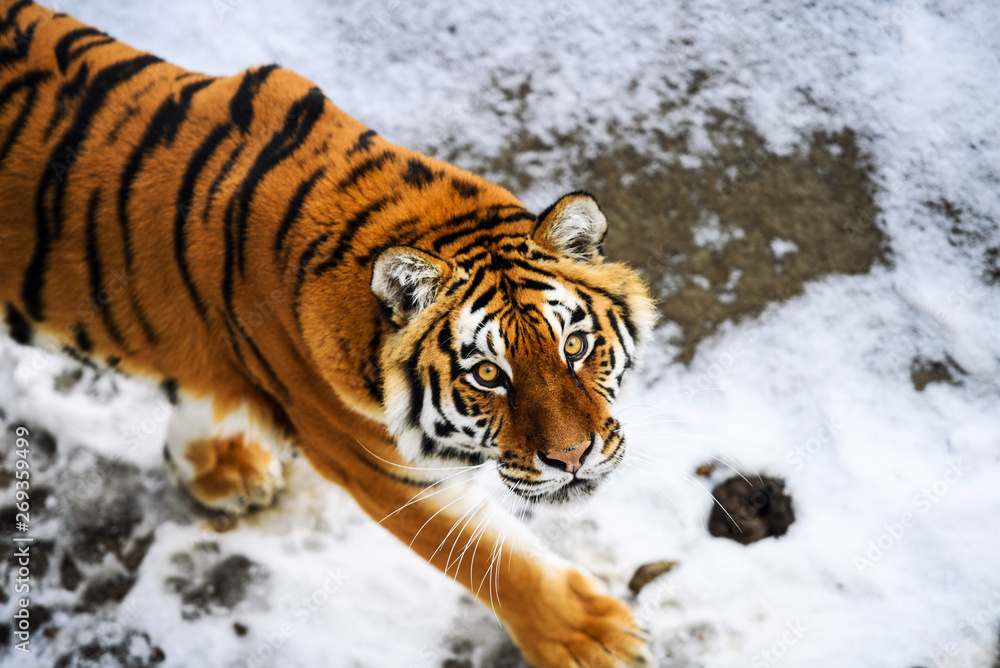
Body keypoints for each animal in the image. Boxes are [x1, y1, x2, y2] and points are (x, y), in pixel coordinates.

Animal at [0, 1, 658, 665]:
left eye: (574, 346)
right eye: (487, 375)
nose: (573, 458)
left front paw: (220, 465)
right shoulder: (378, 466)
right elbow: (497, 561)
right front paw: (596, 639)